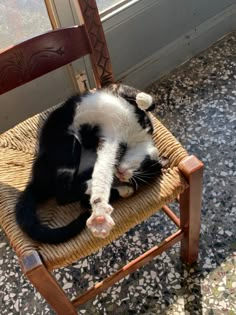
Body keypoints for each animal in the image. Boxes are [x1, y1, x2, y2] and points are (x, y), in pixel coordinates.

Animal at [15, 84, 164, 244]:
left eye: (138, 180)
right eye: (142, 169)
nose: (123, 177)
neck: (134, 136)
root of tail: (37, 182)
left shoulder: (112, 143)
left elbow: (103, 171)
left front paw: (106, 199)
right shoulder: (117, 91)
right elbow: (142, 97)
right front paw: (143, 99)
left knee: (66, 195)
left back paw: (108, 187)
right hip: (69, 143)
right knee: (62, 194)